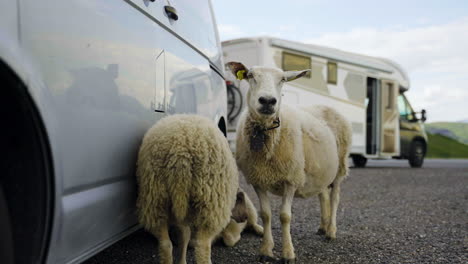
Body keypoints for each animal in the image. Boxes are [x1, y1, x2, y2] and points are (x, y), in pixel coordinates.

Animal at [135, 114, 238, 264]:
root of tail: (180, 151)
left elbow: (185, 235)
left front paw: (182, 260)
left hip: (155, 195)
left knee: (165, 243)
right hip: (211, 203)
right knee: (202, 246)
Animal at [227, 62, 352, 264]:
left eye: (283, 79)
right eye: (250, 75)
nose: (268, 101)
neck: (266, 135)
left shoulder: (291, 178)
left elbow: (285, 216)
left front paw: (288, 254)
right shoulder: (258, 179)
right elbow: (266, 215)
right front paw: (266, 250)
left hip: (340, 166)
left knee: (334, 197)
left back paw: (331, 231)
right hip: (321, 169)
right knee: (323, 195)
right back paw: (323, 226)